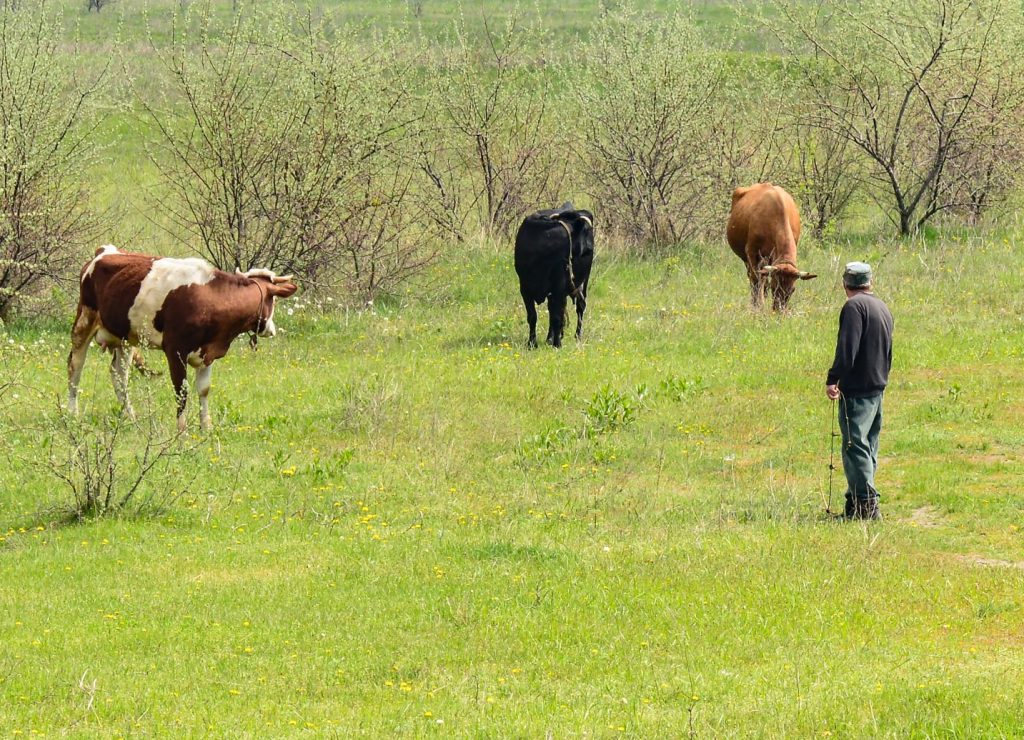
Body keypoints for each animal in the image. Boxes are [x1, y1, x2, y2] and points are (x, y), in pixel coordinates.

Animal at [68, 247, 296, 431]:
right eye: (273, 300)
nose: (271, 330)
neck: (212, 298)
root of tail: (105, 251)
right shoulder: (175, 350)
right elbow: (182, 391)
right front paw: (182, 431)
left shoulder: (208, 352)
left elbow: (203, 389)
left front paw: (206, 427)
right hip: (84, 320)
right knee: (75, 366)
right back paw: (73, 414)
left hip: (126, 337)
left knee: (119, 375)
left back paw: (131, 418)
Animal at [516, 203, 598, 347]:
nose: (589, 249)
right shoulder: (524, 287)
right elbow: (532, 316)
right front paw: (532, 343)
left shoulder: (559, 286)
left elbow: (556, 317)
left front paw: (557, 344)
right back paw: (550, 338)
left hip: (582, 281)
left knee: (580, 306)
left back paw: (577, 336)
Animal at [724, 185, 819, 313]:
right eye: (775, 286)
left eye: (792, 290)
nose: (779, 311)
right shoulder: (752, 251)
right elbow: (757, 279)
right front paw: (758, 305)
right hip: (748, 259)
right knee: (754, 279)